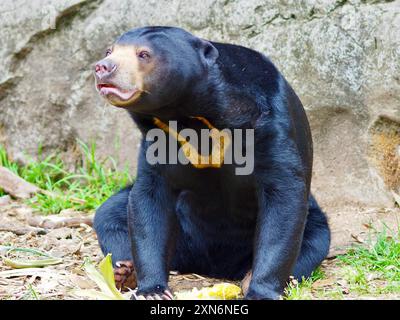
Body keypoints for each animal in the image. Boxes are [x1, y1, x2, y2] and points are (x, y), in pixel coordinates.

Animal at [92, 25, 330, 300]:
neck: (186, 113)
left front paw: (259, 291)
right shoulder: (157, 139)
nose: (102, 67)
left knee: (313, 239)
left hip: (314, 222)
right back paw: (124, 271)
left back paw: (247, 277)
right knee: (110, 213)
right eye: (109, 51)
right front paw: (152, 291)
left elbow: (283, 200)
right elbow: (148, 201)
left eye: (144, 54)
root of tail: (211, 266)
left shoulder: (270, 126)